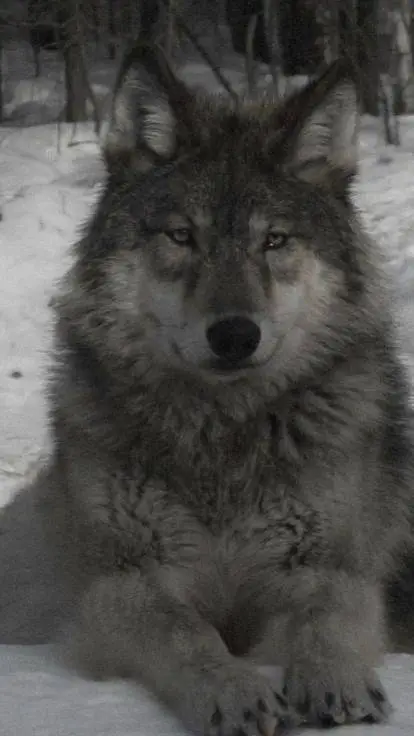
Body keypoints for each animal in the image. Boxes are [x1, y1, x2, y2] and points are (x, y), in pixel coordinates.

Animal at [1, 45, 414, 735]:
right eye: (181, 236)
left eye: (274, 240)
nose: (235, 334)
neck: (222, 436)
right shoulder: (120, 584)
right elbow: (186, 632)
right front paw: (234, 690)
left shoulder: (332, 565)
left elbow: (328, 616)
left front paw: (336, 682)